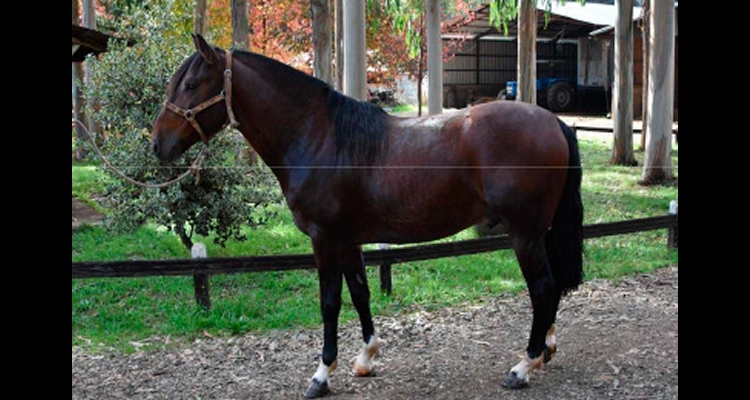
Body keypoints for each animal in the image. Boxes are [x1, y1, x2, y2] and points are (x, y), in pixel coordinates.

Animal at [153, 35, 584, 400]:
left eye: (191, 85)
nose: (158, 144)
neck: (320, 137)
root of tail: (554, 121)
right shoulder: (348, 239)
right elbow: (360, 293)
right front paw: (366, 358)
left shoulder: (324, 238)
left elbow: (330, 302)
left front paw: (322, 375)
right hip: (537, 233)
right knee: (549, 288)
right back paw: (545, 350)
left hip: (524, 234)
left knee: (543, 287)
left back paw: (523, 365)